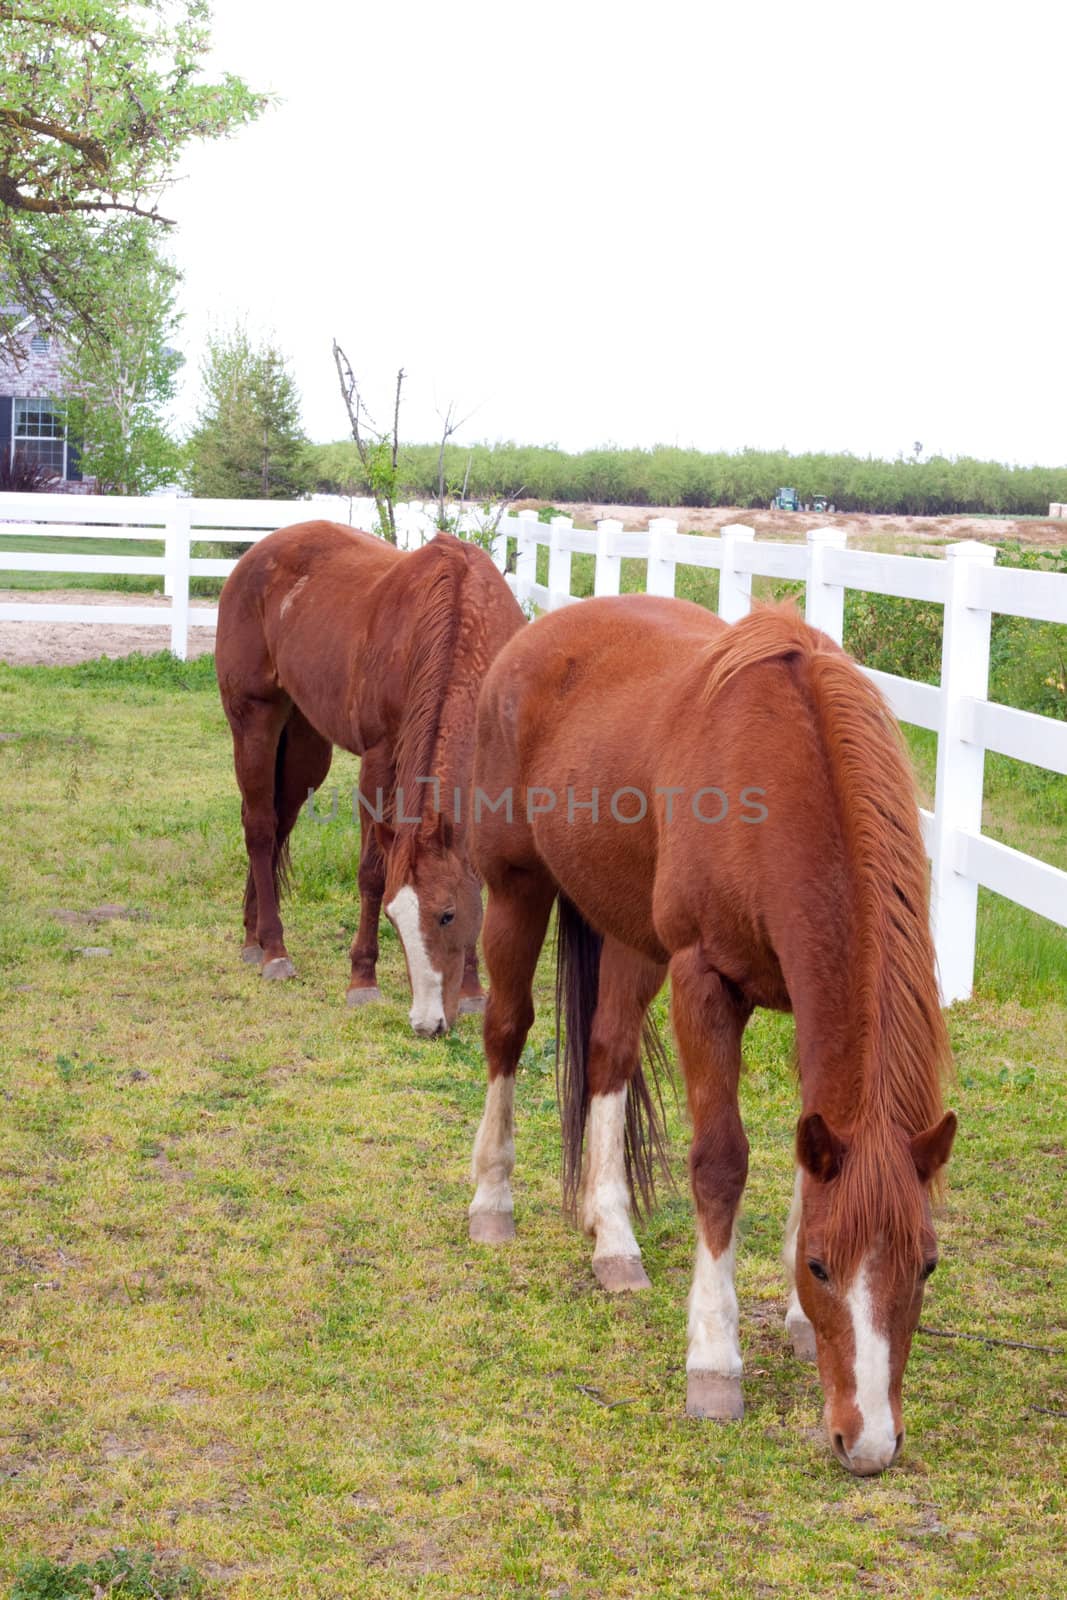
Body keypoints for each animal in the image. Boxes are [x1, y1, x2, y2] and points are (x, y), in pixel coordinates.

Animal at [214, 518, 524, 1030]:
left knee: (278, 824)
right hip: (254, 721)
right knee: (259, 828)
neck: (460, 616)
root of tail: (255, 555)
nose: (427, 1022)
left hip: (304, 748)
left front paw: (474, 989)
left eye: (447, 915)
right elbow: (372, 874)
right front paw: (363, 979)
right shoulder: (379, 762)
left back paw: (251, 935)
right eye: (395, 920)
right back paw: (274, 949)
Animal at [470, 598, 953, 1472]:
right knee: (506, 1031)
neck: (785, 776)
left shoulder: (796, 997)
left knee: (607, 1055)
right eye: (822, 1265)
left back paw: (612, 1239)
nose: (867, 1441)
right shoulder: (704, 982)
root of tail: (536, 635)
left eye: (926, 1265)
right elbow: (720, 1163)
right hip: (515, 889)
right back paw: (490, 1201)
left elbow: (804, 1154)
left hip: (628, 932)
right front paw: (714, 1363)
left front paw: (793, 1323)